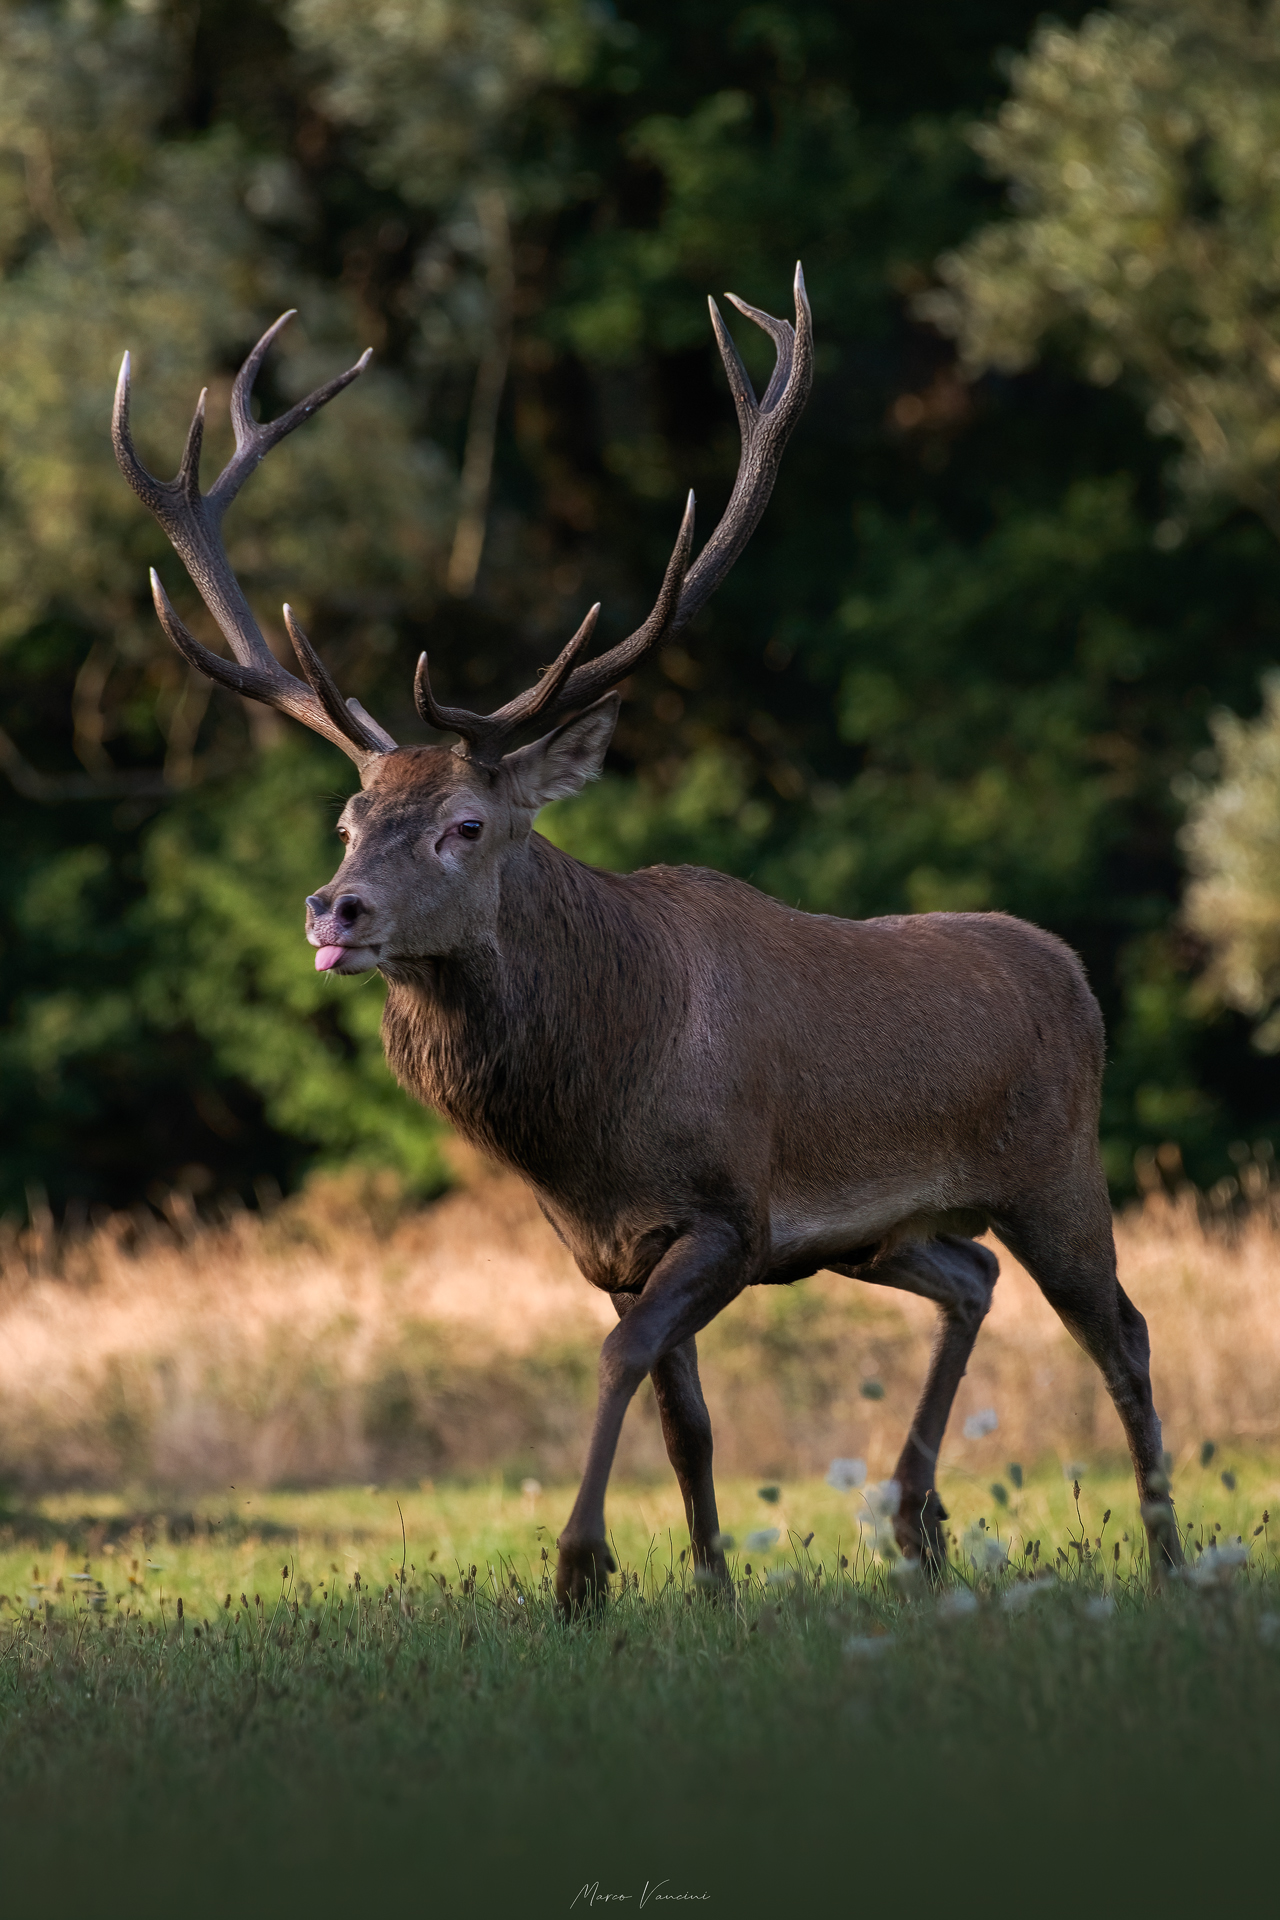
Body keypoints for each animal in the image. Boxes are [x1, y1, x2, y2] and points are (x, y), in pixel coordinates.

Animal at [112, 267, 1181, 1611]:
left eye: (465, 825)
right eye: (350, 819)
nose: (334, 908)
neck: (587, 1121)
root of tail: (1073, 973)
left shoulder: (727, 1214)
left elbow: (623, 1361)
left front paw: (580, 1570)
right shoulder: (615, 1248)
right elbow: (688, 1422)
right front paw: (711, 1591)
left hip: (1054, 1169)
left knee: (1121, 1331)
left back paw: (1164, 1555)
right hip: (879, 1236)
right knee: (972, 1280)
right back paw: (914, 1522)